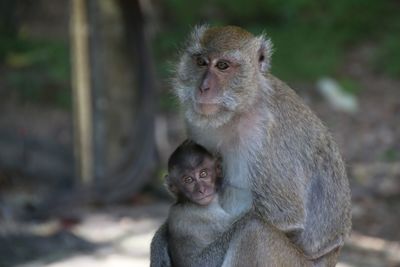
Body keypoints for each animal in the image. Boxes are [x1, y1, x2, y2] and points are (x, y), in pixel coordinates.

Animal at [152, 24, 352, 266]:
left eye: (223, 66)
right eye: (201, 62)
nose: (203, 87)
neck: (240, 110)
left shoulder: (265, 134)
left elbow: (284, 214)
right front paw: (161, 238)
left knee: (253, 231)